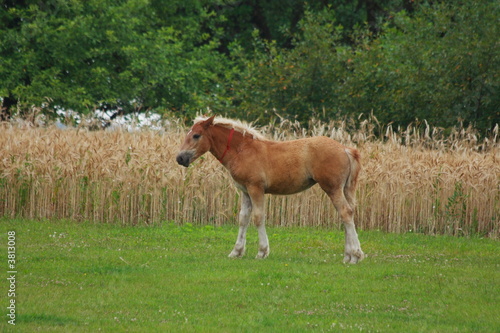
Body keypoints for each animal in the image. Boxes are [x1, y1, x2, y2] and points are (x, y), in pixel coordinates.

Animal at [178, 115, 366, 264]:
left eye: (196, 135)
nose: (180, 158)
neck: (243, 150)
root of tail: (345, 149)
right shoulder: (245, 191)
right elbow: (243, 219)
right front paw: (236, 251)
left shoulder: (256, 188)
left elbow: (258, 217)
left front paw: (262, 252)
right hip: (344, 189)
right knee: (348, 213)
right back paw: (348, 256)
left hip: (332, 188)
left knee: (345, 212)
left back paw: (355, 255)